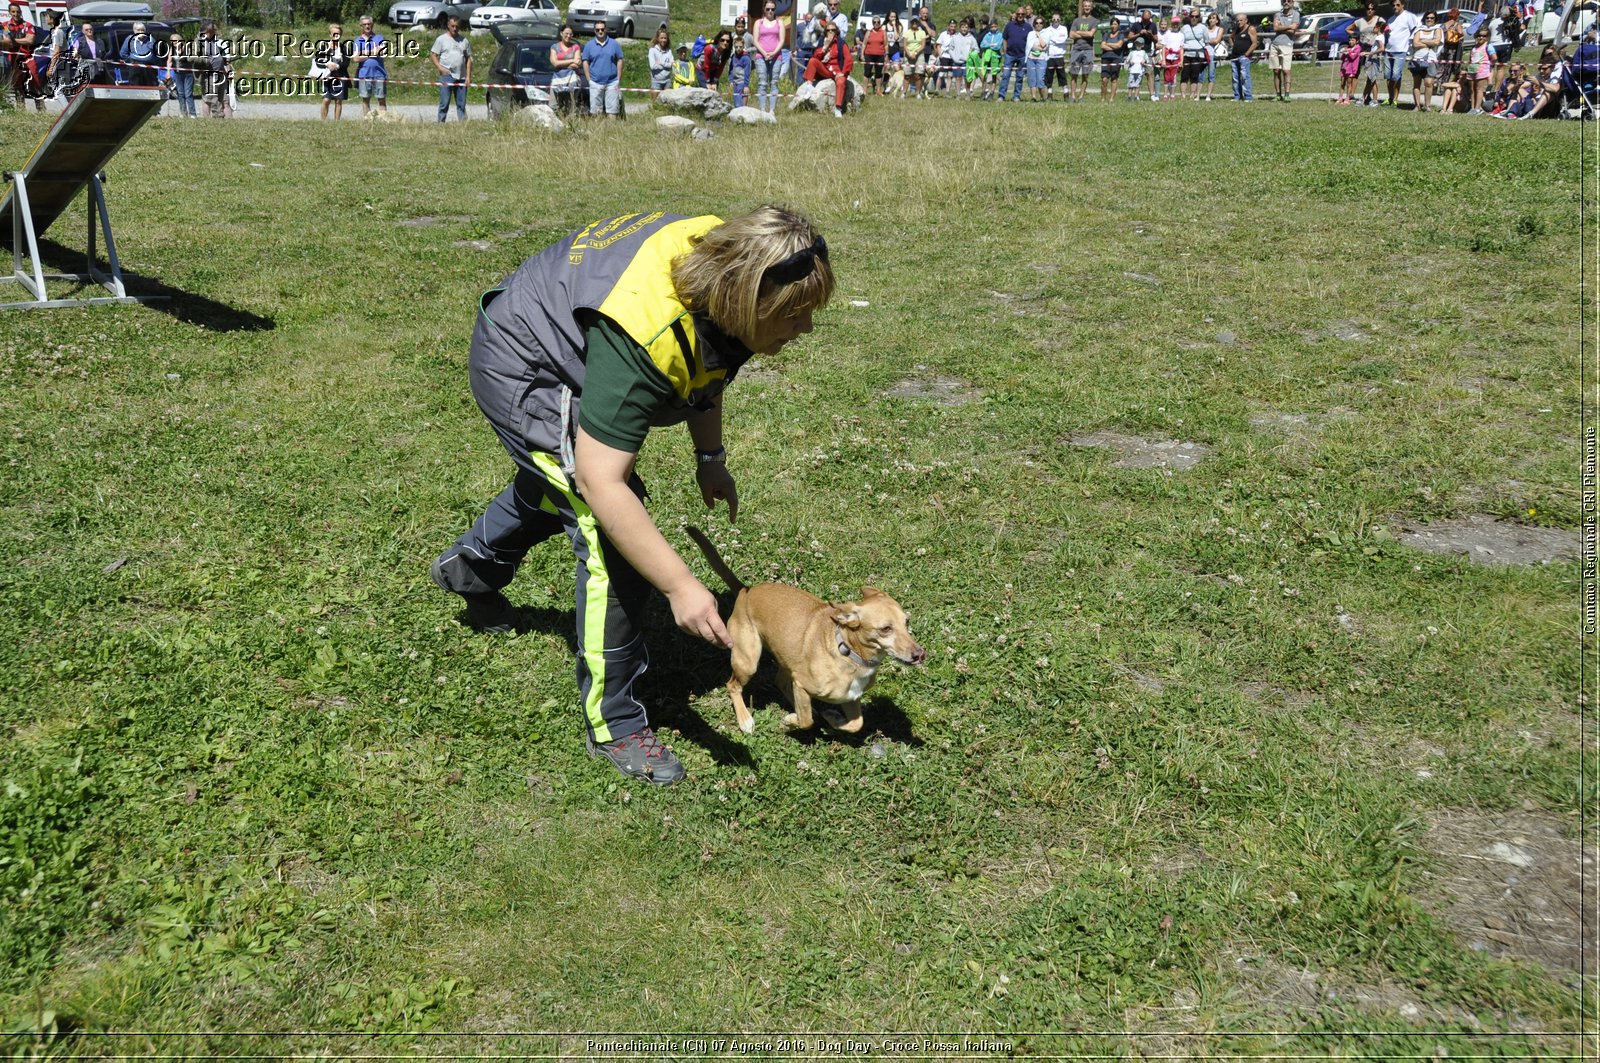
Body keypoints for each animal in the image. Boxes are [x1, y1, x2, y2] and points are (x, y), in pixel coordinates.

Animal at [684, 528, 928, 736]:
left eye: (907, 622)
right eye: (886, 629)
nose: (920, 654)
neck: (850, 654)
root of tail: (746, 590)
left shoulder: (850, 698)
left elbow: (856, 724)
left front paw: (833, 719)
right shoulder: (802, 684)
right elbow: (806, 721)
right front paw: (791, 722)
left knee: (781, 683)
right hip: (747, 661)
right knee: (733, 686)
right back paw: (746, 719)